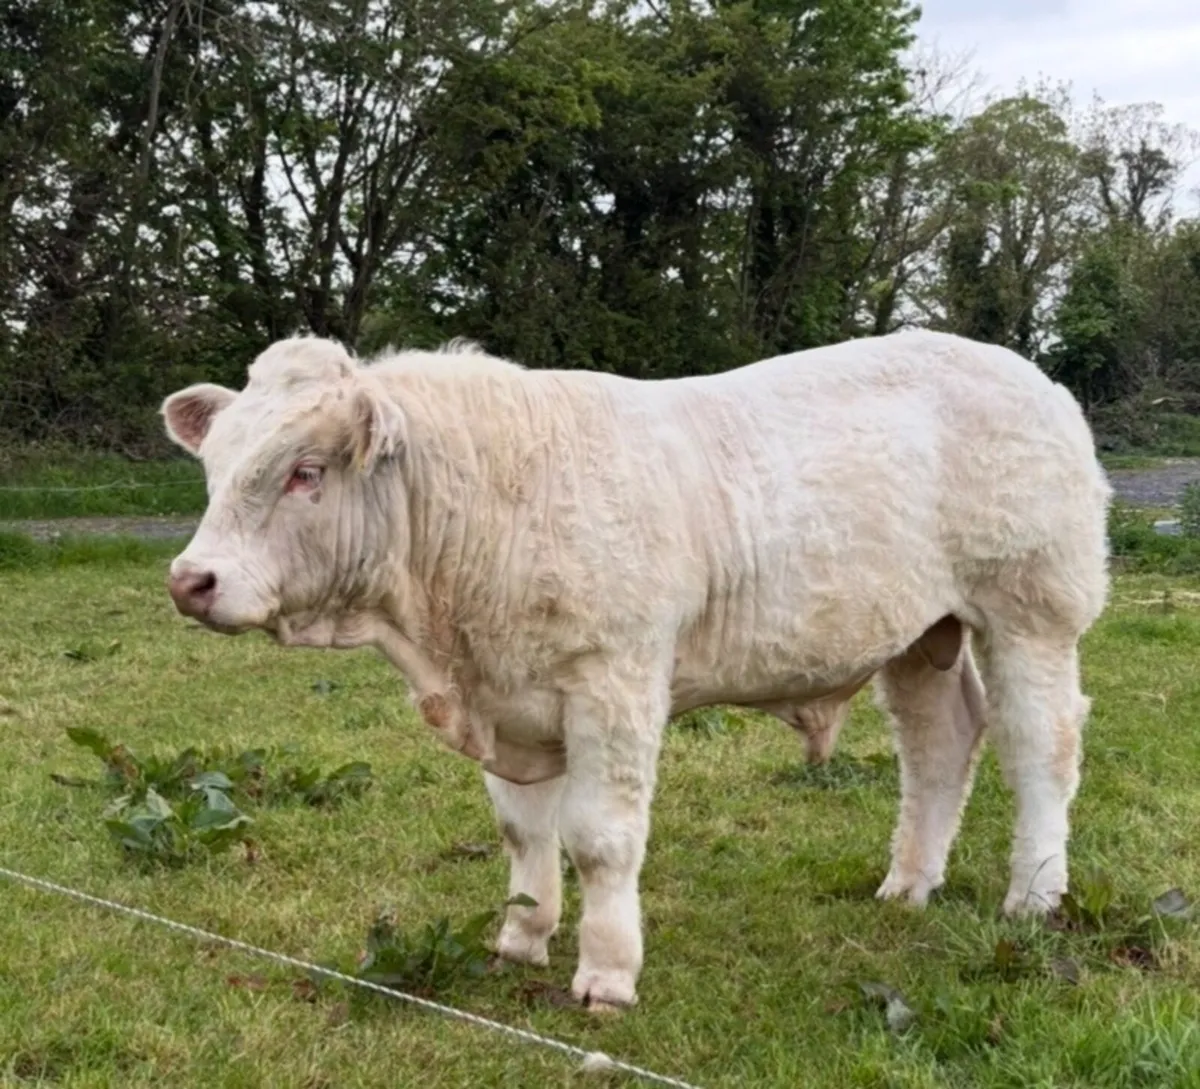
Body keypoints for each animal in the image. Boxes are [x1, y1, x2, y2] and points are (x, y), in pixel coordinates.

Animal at [160, 329, 1111, 1012]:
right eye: (214, 467)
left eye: (305, 471)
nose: (190, 580)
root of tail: (1032, 375)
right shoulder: (512, 693)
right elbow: (524, 829)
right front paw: (522, 937)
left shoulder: (612, 680)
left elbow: (599, 837)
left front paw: (608, 973)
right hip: (921, 633)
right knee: (939, 745)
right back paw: (908, 884)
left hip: (1031, 607)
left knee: (1040, 746)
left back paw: (1033, 894)